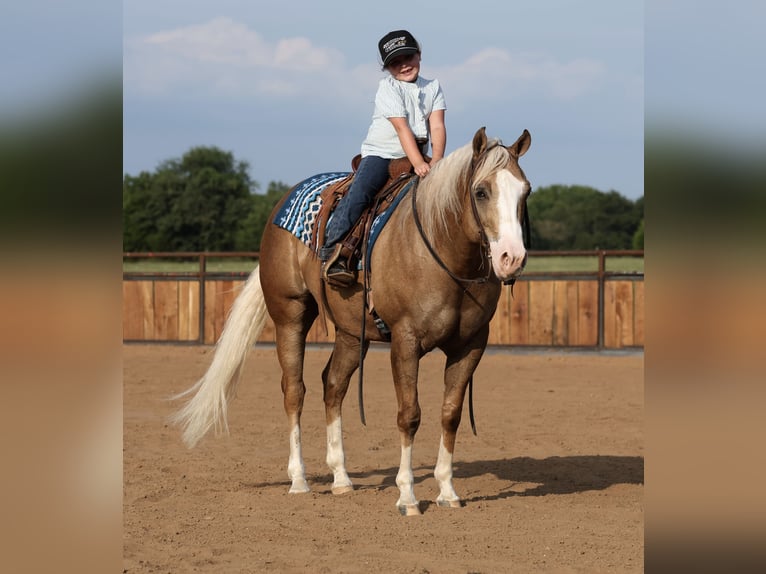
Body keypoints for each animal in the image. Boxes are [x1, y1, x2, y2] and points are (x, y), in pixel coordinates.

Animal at [172, 127, 532, 515]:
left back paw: (341, 478)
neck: (443, 252)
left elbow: (450, 414)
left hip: (350, 333)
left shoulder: (471, 345)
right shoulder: (406, 341)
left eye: (525, 190)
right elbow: (409, 414)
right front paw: (407, 496)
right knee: (294, 390)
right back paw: (299, 480)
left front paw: (448, 492)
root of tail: (282, 204)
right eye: (481, 191)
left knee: (333, 385)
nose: (512, 258)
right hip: (290, 314)